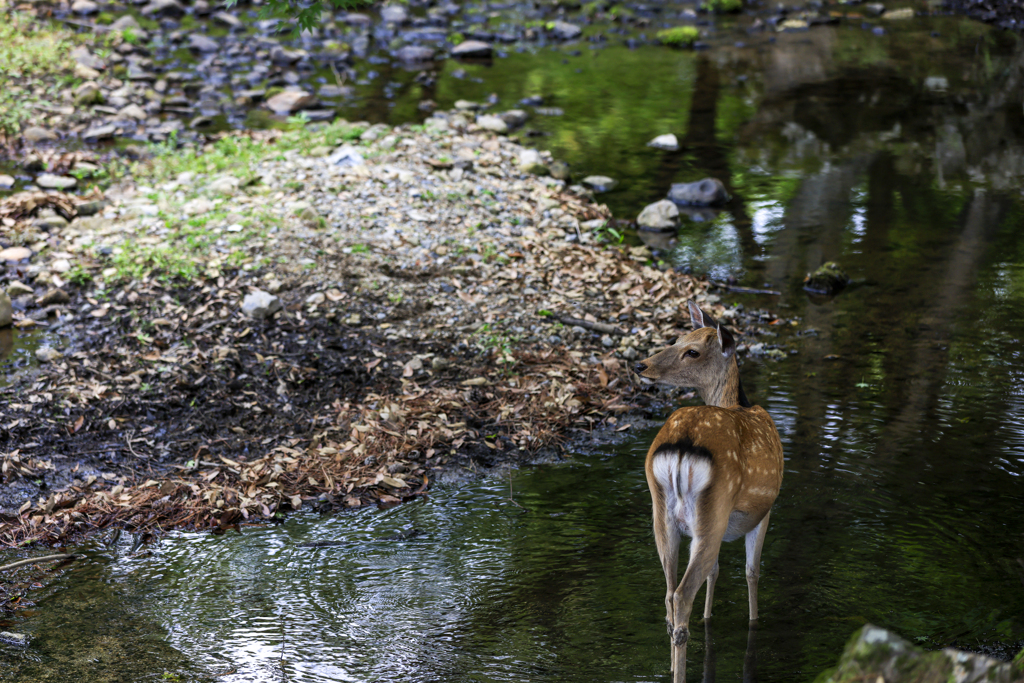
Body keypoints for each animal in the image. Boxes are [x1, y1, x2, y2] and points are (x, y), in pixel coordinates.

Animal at [630, 301, 782, 679]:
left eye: (691, 349)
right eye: (677, 339)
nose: (641, 365)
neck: (737, 402)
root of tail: (682, 448)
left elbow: (716, 570)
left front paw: (709, 618)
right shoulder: (765, 510)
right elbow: (752, 572)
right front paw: (754, 623)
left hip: (663, 513)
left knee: (669, 594)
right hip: (715, 506)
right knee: (682, 594)